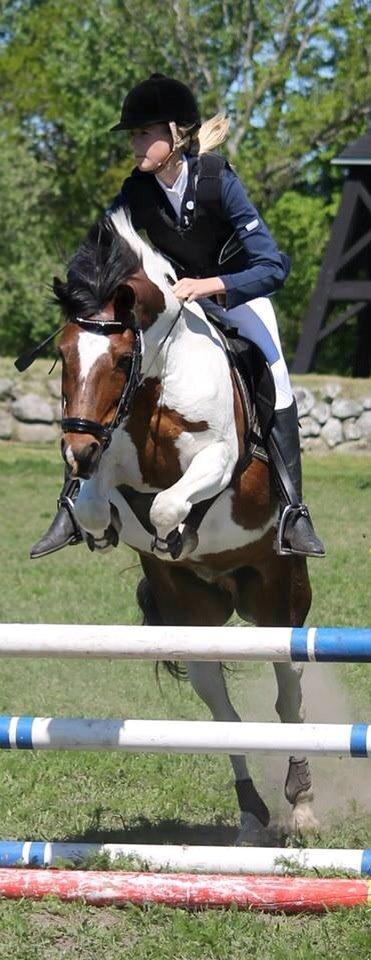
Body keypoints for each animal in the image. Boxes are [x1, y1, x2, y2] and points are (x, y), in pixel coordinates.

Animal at [53, 210, 318, 840]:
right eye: (65, 355)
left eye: (120, 359)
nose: (76, 452)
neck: (155, 386)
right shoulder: (108, 464)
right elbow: (102, 505)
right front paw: (102, 528)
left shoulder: (218, 459)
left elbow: (171, 506)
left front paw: (178, 533)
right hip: (192, 618)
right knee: (222, 711)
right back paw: (251, 815)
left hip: (278, 600)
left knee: (288, 695)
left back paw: (300, 803)